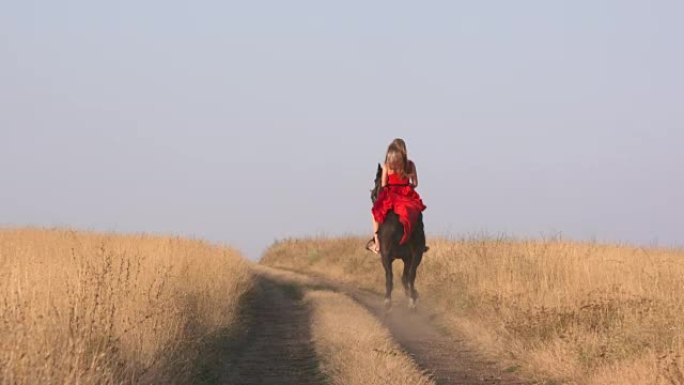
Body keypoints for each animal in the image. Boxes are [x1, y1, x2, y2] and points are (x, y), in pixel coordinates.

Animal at [372, 163, 424, 308]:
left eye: (375, 181)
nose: (372, 195)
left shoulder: (388, 256)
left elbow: (393, 276)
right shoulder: (407, 257)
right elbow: (405, 277)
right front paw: (413, 294)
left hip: (387, 255)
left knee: (390, 276)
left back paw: (389, 301)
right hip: (416, 254)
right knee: (410, 276)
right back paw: (412, 299)